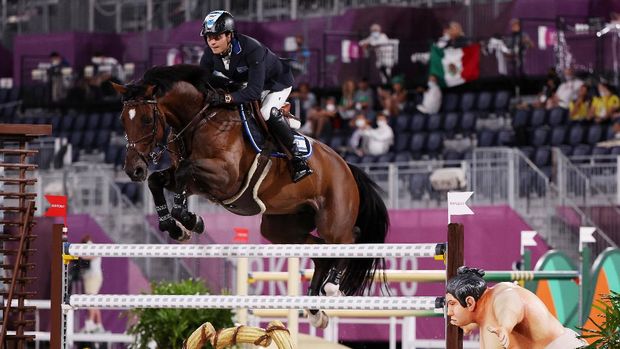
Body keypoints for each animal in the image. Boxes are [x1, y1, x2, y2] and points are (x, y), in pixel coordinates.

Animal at [112, 64, 388, 326]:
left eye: (146, 120)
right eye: (123, 119)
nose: (133, 169)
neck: (199, 120)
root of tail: (346, 166)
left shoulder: (225, 177)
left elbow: (184, 172)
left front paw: (189, 220)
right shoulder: (197, 181)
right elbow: (158, 181)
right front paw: (176, 226)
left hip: (333, 220)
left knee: (350, 238)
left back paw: (332, 285)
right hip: (281, 229)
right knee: (321, 253)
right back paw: (314, 310)